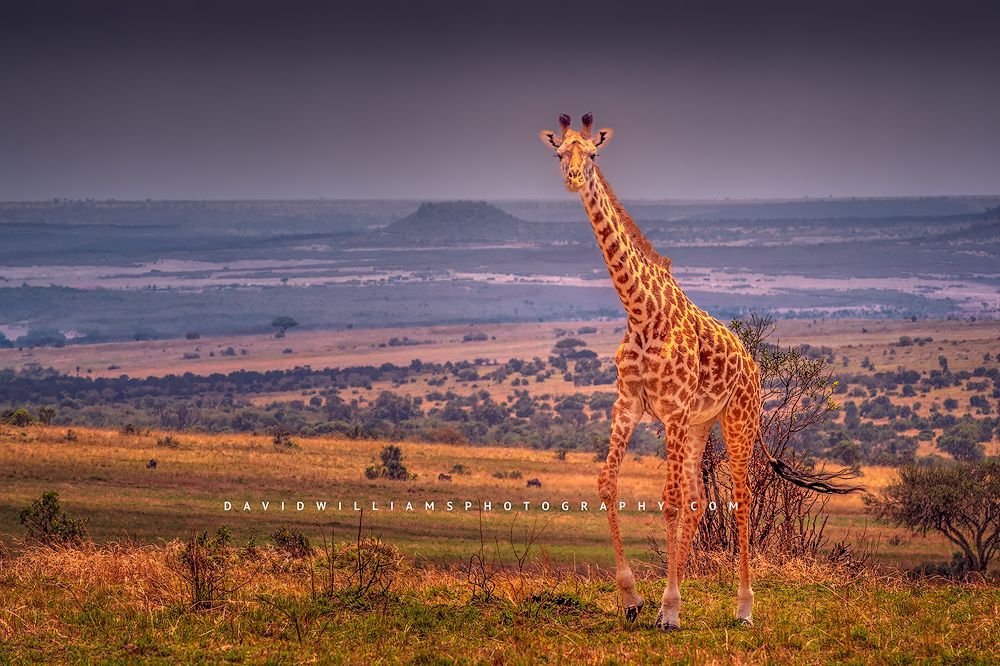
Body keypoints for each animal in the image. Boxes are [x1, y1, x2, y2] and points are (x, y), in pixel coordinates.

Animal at [539, 113, 857, 630]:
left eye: (593, 154)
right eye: (559, 152)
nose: (572, 177)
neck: (640, 311)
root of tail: (752, 364)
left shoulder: (670, 410)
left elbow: (668, 502)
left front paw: (666, 608)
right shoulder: (630, 403)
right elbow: (609, 484)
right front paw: (635, 599)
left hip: (737, 419)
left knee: (740, 496)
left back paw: (743, 607)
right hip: (699, 423)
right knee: (696, 495)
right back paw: (676, 601)